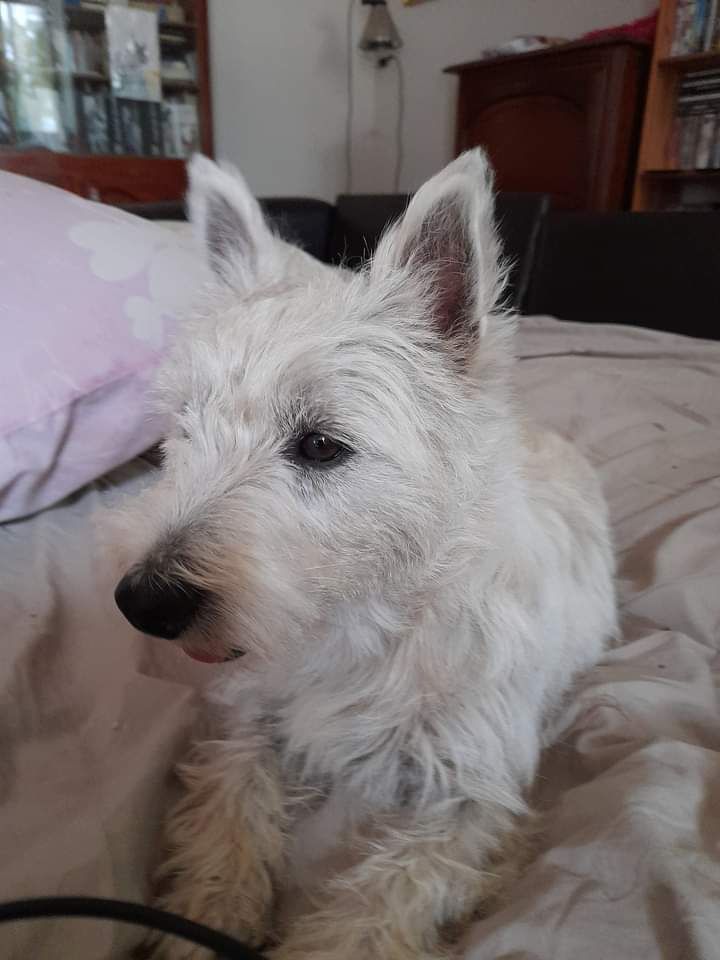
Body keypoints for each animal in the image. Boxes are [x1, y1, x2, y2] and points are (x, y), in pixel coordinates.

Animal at [115, 152, 616, 960]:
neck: (364, 623)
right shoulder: (250, 723)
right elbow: (229, 815)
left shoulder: (473, 799)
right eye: (182, 429)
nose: (143, 601)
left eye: (321, 445)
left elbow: (379, 902)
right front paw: (204, 921)